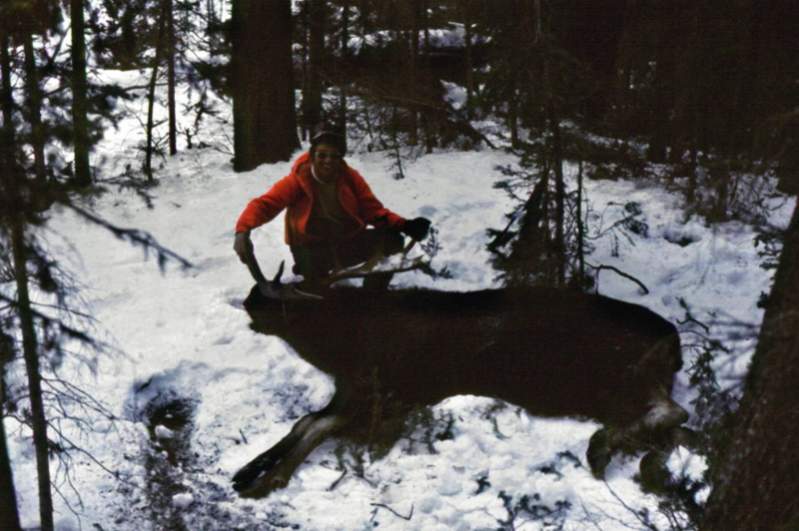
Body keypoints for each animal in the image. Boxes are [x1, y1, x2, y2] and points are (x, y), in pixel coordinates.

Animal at [230, 264, 688, 496]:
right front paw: (249, 471)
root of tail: (673, 338)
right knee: (671, 426)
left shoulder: (388, 393)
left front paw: (268, 478)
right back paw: (642, 463)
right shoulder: (349, 391)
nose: (248, 298)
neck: (341, 345)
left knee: (674, 414)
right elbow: (304, 422)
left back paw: (602, 448)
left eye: (286, 296)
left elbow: (317, 425)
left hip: (615, 380)